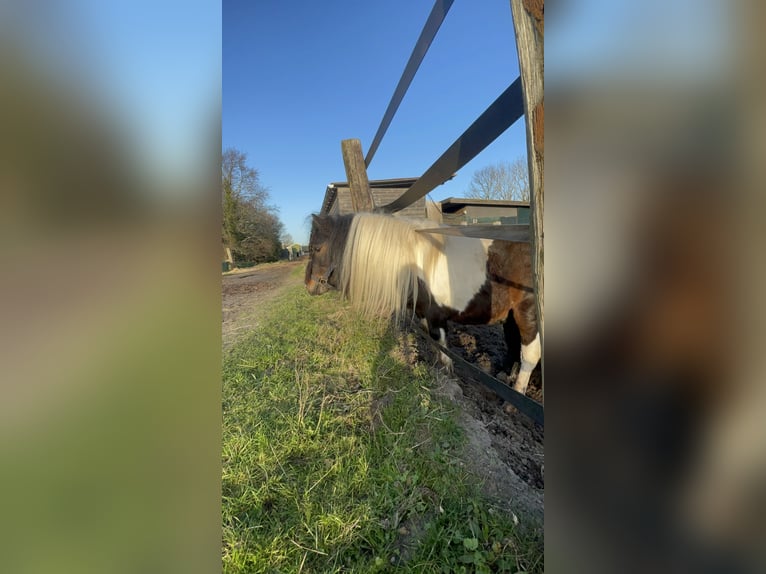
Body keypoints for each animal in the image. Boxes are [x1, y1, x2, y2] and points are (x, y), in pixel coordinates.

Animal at [304, 212, 540, 395]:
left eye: (316, 248)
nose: (308, 285)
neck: (416, 263)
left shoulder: (437, 315)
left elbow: (440, 343)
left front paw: (447, 373)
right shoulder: (423, 314)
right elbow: (432, 341)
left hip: (526, 312)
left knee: (530, 355)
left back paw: (515, 397)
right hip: (509, 315)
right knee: (513, 344)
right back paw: (505, 376)